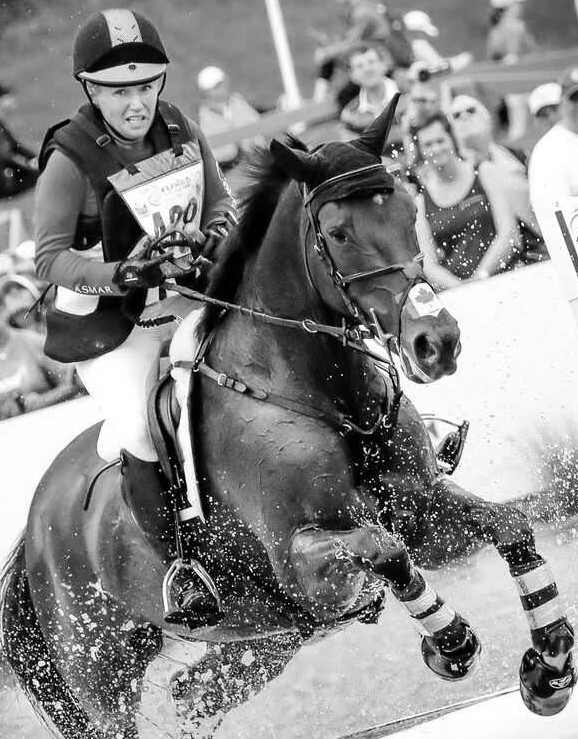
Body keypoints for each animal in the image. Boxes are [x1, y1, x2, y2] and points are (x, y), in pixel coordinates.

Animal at [0, 97, 575, 738]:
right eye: (339, 233)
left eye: (410, 211)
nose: (437, 342)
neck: (319, 394)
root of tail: (33, 529)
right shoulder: (303, 562)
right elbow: (385, 550)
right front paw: (450, 643)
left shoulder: (420, 503)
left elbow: (510, 526)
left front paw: (549, 667)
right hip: (98, 675)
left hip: (267, 642)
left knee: (193, 694)